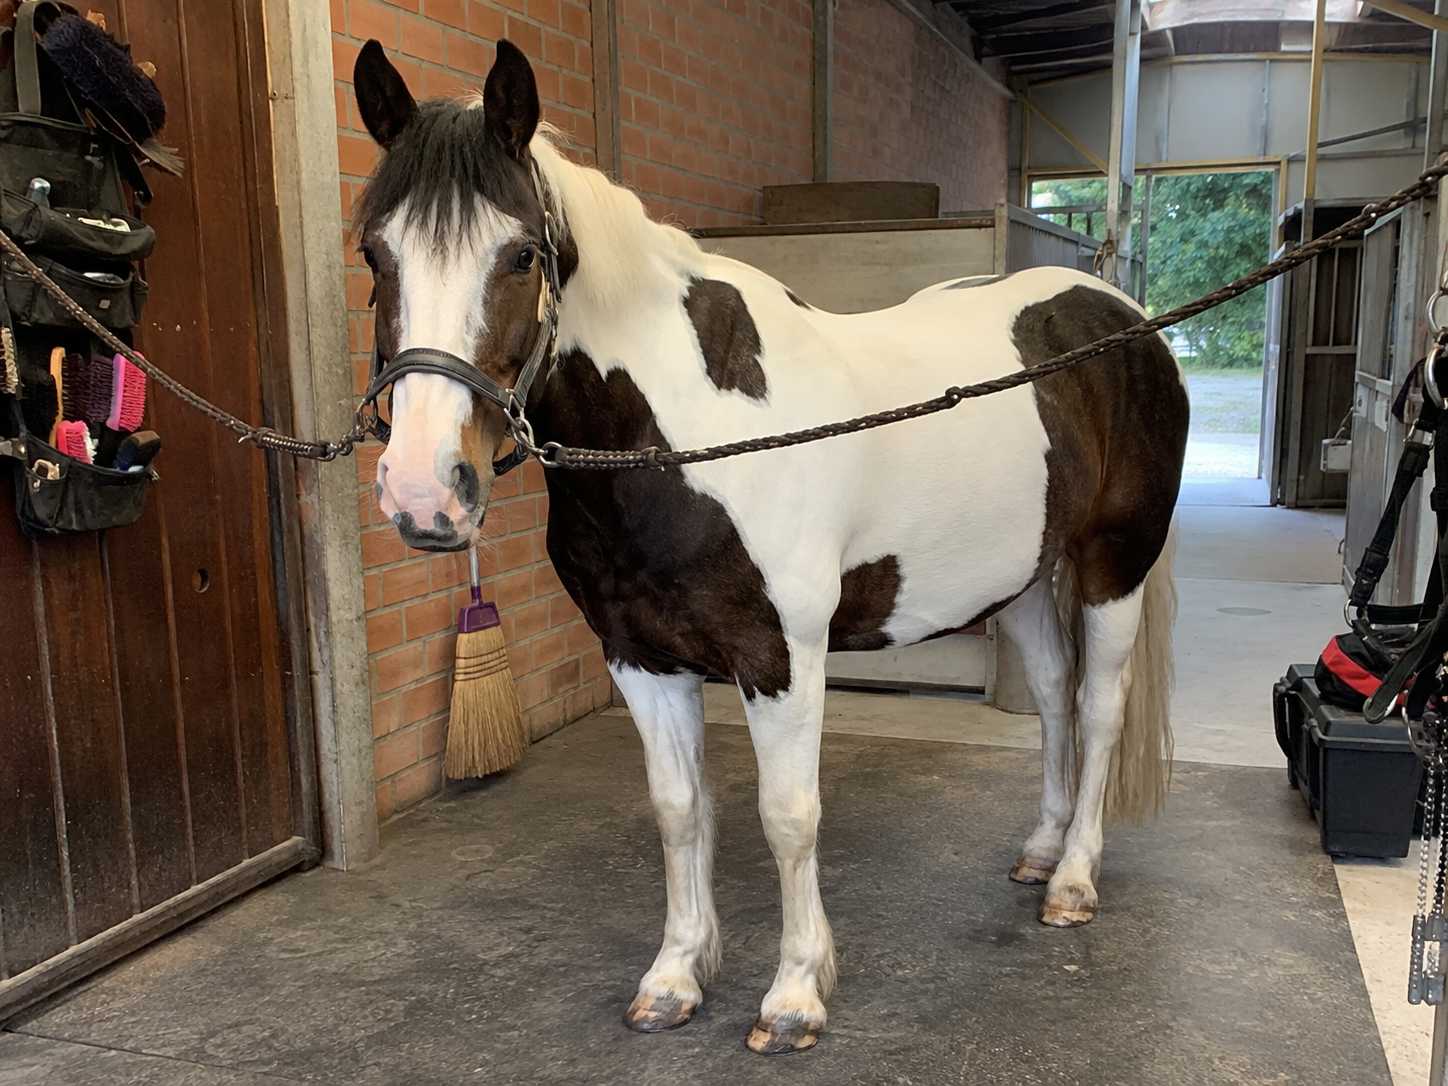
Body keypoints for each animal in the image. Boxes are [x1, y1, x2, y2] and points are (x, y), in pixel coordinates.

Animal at [351, 38, 1189, 1055]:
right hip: (1023, 580)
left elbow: (788, 816)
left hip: (1113, 564)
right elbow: (680, 812)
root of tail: (1120, 314)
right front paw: (675, 978)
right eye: (374, 252)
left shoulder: (780, 656)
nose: (423, 492)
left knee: (1099, 708)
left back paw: (1073, 881)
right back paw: (1041, 851)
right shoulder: (639, 657)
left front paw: (794, 996)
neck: (689, 438)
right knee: (1058, 701)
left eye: (519, 254)